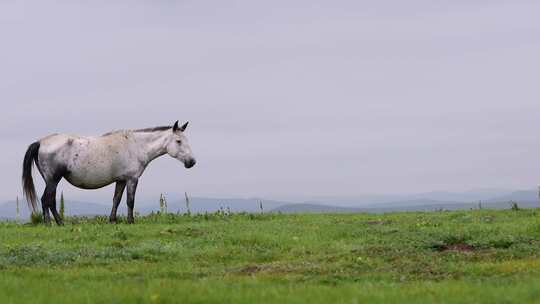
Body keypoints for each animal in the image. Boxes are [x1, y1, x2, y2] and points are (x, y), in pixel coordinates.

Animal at [23, 120, 197, 224]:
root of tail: (40, 142)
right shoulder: (132, 179)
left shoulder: (121, 180)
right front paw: (130, 221)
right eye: (178, 141)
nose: (192, 162)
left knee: (50, 200)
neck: (136, 146)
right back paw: (52, 223)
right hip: (53, 179)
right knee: (47, 199)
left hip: (51, 180)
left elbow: (116, 200)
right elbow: (130, 200)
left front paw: (112, 220)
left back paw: (58, 222)